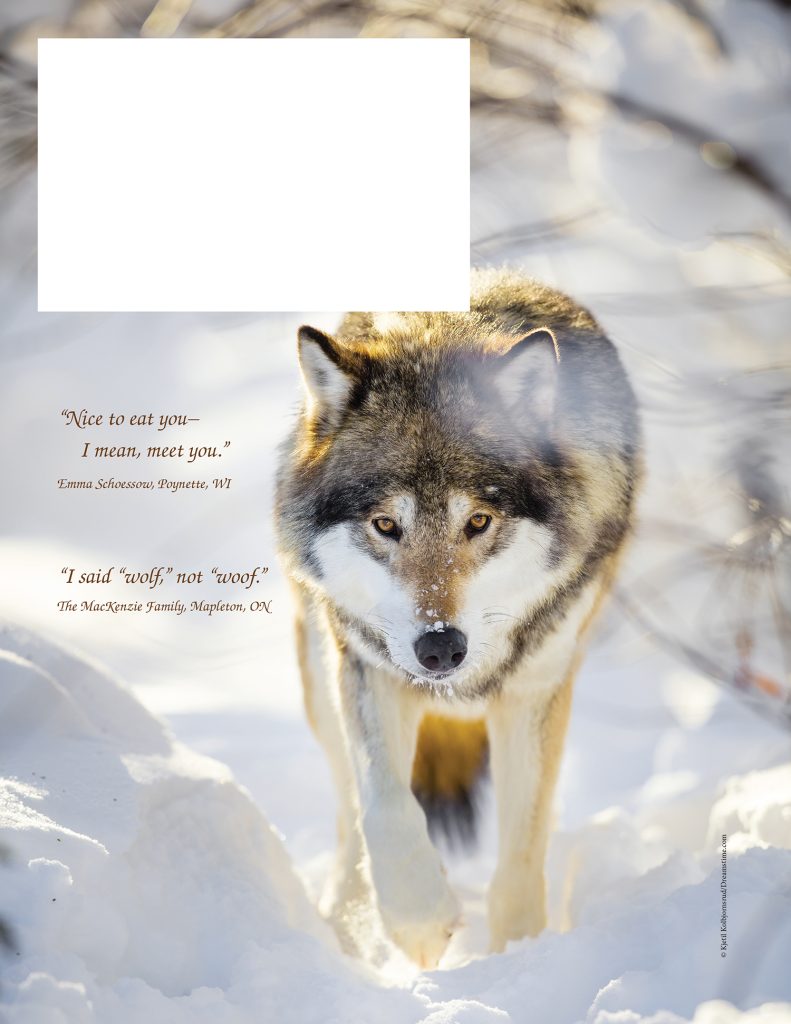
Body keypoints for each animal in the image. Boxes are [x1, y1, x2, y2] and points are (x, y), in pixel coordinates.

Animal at [275, 268, 641, 967]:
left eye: (477, 521)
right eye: (385, 525)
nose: (440, 649)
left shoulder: (535, 690)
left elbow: (521, 857)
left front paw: (517, 958)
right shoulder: (368, 664)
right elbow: (383, 805)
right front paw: (418, 925)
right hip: (317, 665)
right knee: (348, 813)